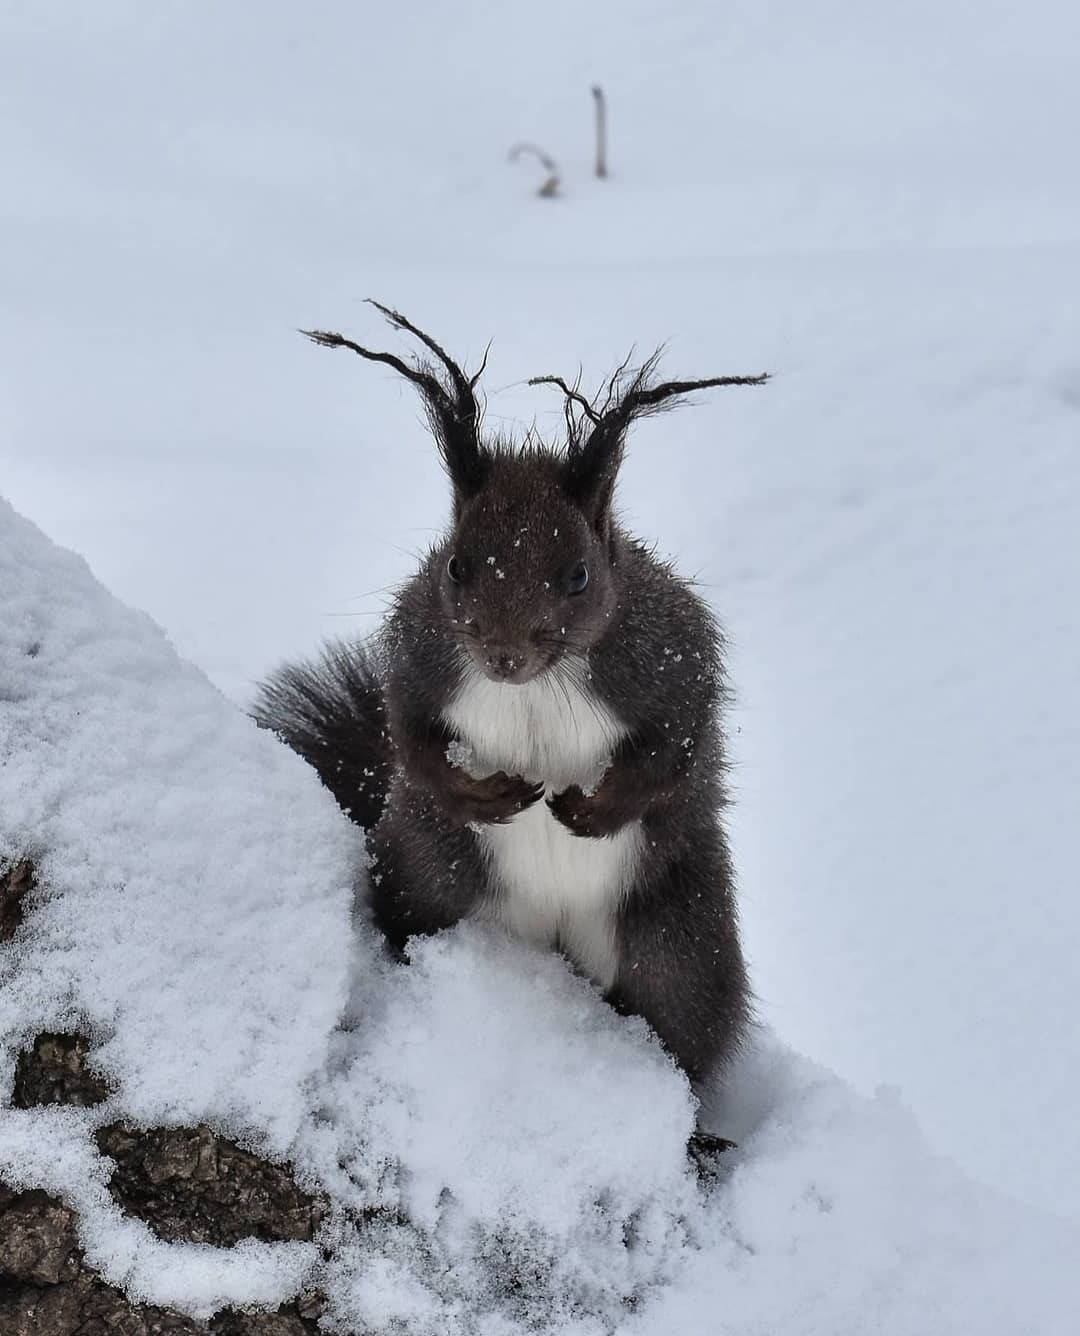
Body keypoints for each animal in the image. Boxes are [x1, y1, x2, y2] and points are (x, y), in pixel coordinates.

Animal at [255, 307, 769, 1100]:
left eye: (579, 574)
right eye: (455, 565)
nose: (502, 656)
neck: (536, 687)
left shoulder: (668, 656)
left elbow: (679, 741)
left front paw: (595, 809)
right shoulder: (421, 653)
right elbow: (408, 735)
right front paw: (479, 794)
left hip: (678, 942)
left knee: (684, 1026)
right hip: (427, 877)